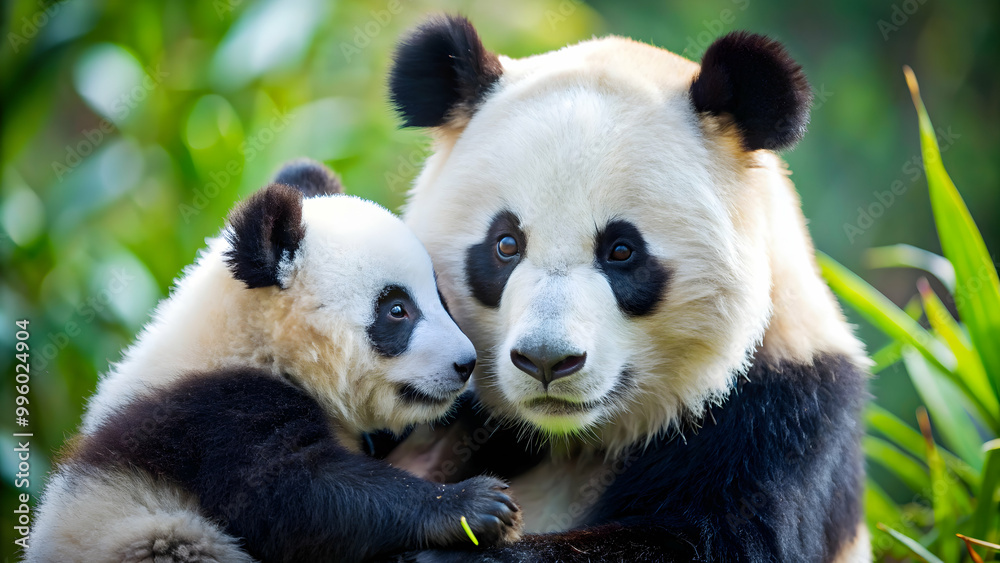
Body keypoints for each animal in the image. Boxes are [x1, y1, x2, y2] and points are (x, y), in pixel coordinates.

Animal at [26, 160, 522, 563]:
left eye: (440, 298)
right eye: (397, 310)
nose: (466, 364)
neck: (256, 343)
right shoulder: (210, 418)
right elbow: (291, 498)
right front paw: (473, 506)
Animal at [382, 15, 871, 562]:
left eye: (621, 251)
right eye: (505, 244)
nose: (546, 361)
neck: (574, 439)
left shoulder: (782, 417)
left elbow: (709, 539)